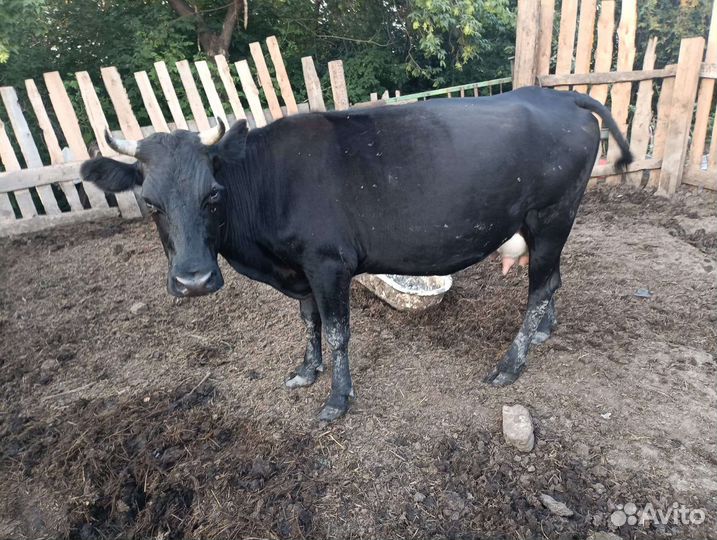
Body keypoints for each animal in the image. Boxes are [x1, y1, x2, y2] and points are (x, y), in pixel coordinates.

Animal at [80, 87, 632, 422]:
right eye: (150, 202)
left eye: (212, 195)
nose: (193, 281)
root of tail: (556, 95)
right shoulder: (300, 268)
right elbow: (308, 322)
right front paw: (306, 371)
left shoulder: (328, 263)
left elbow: (338, 331)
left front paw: (337, 399)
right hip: (550, 225)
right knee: (553, 281)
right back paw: (542, 333)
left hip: (551, 217)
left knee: (540, 286)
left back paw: (509, 365)